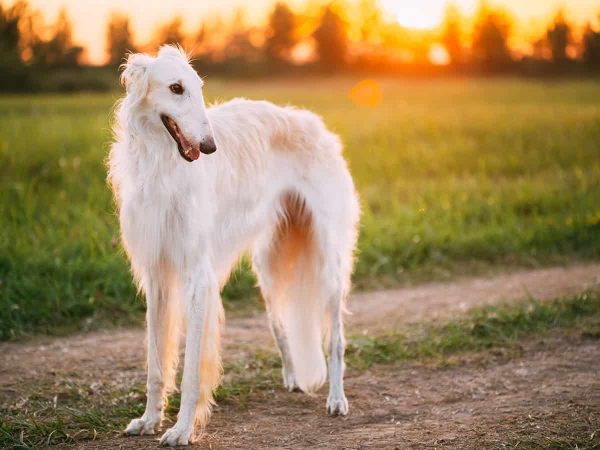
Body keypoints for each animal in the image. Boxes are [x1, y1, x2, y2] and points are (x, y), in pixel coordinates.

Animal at [108, 45, 358, 446]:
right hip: (269, 268)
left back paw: (337, 398)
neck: (163, 165)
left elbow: (192, 369)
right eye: (176, 88)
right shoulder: (157, 275)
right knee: (280, 327)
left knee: (335, 340)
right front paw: (149, 419)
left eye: (198, 87)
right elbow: (156, 364)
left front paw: (181, 429)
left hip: (328, 262)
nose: (209, 147)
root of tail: (315, 124)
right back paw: (293, 377)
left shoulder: (198, 276)